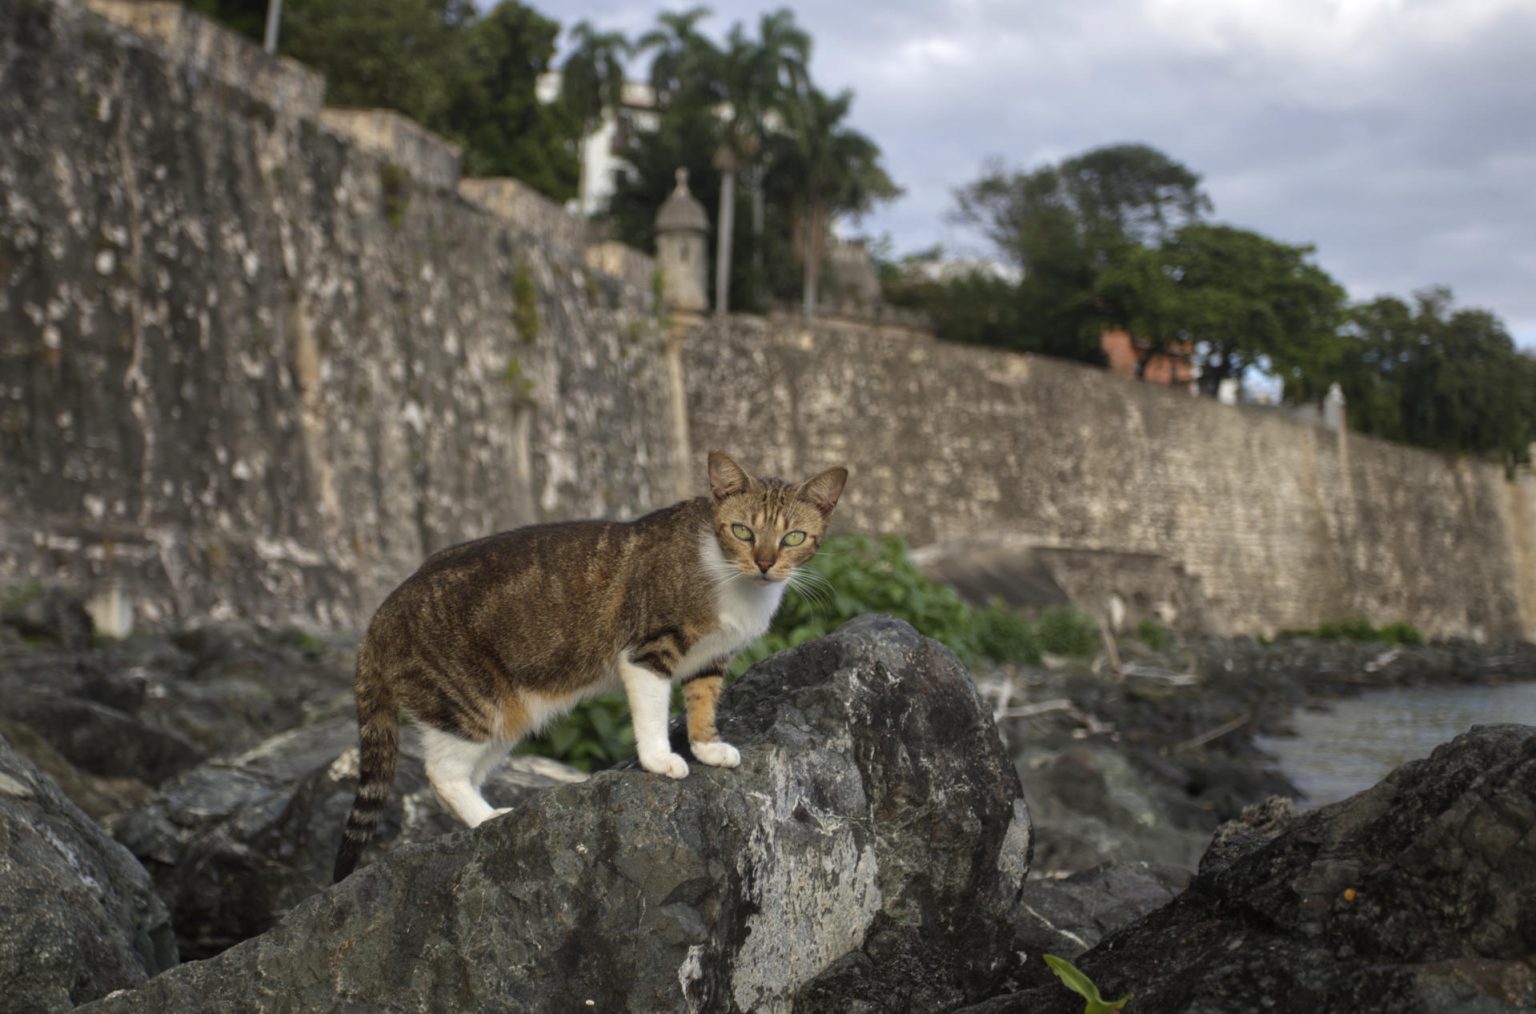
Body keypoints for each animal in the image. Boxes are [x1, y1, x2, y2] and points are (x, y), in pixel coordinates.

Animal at [328, 451, 847, 878]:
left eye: (793, 537)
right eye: (743, 531)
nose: (764, 563)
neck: (730, 578)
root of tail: (378, 619)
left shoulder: (711, 659)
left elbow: (703, 702)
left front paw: (707, 748)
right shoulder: (647, 649)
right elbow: (652, 712)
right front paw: (661, 761)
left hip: (509, 715)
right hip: (469, 700)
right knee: (442, 773)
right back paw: (488, 816)